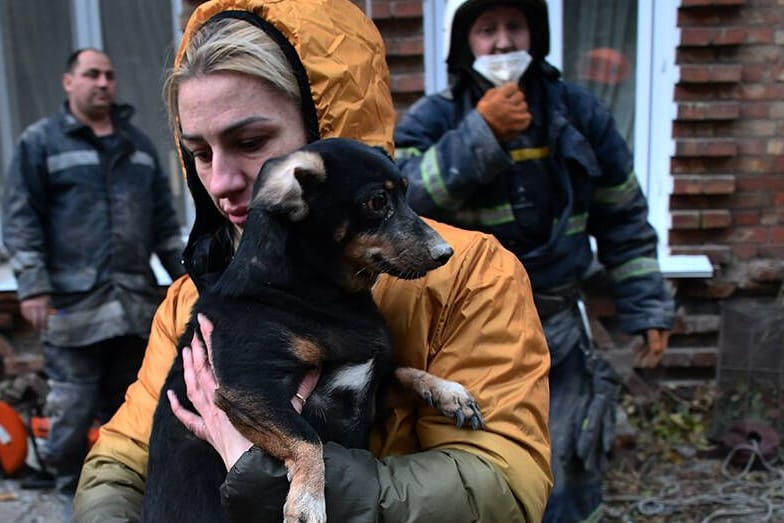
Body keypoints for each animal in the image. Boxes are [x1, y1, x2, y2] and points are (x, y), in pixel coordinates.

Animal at [142, 137, 484, 520]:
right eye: (377, 201)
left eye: (407, 193)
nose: (445, 253)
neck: (315, 294)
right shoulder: (248, 388)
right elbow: (307, 438)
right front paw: (307, 501)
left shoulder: (370, 383)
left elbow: (404, 370)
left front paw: (448, 393)